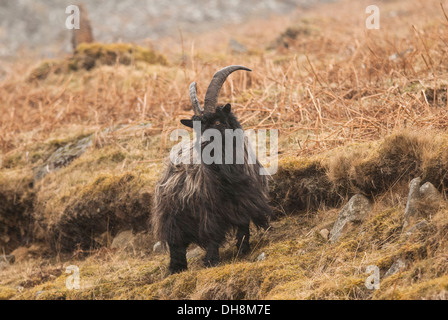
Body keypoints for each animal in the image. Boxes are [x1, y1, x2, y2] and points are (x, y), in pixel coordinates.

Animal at [152, 66, 272, 274]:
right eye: (197, 128)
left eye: (217, 122)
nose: (203, 144)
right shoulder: (209, 209)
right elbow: (212, 233)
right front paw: (211, 260)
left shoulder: (245, 202)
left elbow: (243, 226)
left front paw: (243, 249)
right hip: (171, 216)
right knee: (176, 244)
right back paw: (177, 268)